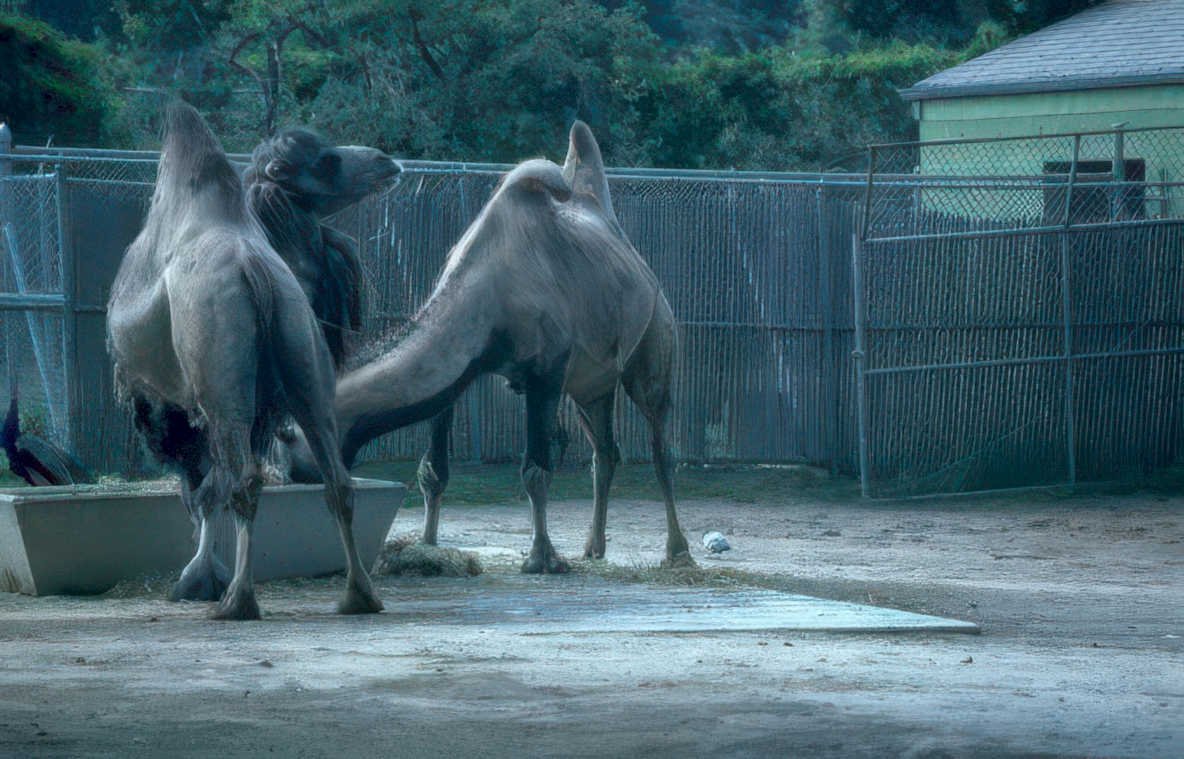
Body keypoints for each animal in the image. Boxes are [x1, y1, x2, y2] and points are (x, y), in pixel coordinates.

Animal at [106, 102, 384, 619]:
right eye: (327, 160)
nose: (385, 161)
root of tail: (254, 270)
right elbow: (207, 486)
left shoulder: (164, 403)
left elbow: (197, 488)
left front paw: (197, 578)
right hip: (301, 358)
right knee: (336, 479)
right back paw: (359, 595)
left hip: (221, 379)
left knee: (243, 481)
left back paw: (237, 600)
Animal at [289, 121, 693, 573]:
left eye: (287, 440)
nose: (295, 475)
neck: (489, 288)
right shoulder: (464, 371)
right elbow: (433, 470)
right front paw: (428, 545)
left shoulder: (546, 372)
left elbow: (536, 469)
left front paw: (541, 558)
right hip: (591, 385)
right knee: (605, 452)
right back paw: (593, 547)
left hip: (653, 346)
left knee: (660, 446)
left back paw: (678, 550)